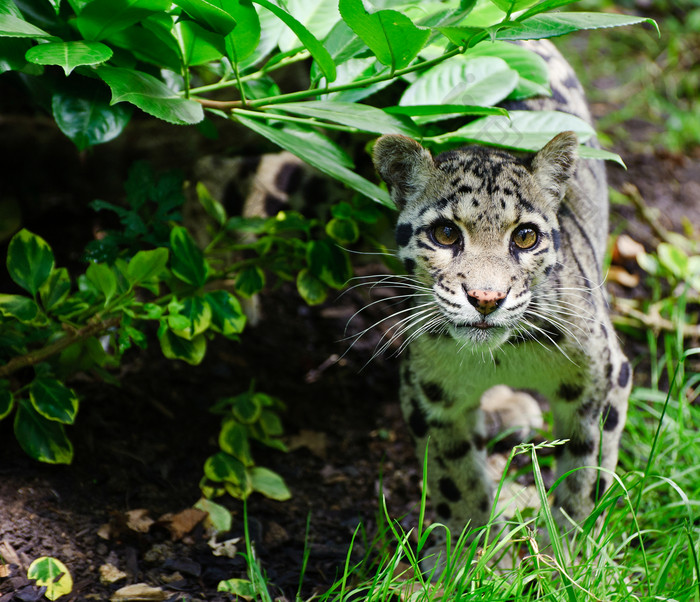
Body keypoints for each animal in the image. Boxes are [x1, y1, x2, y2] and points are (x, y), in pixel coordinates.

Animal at [374, 39, 632, 556]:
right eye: (445, 233)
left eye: (526, 237)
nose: (486, 297)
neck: (505, 355)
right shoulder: (428, 395)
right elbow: (456, 479)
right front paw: (462, 554)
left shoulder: (604, 378)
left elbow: (585, 476)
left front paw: (566, 556)